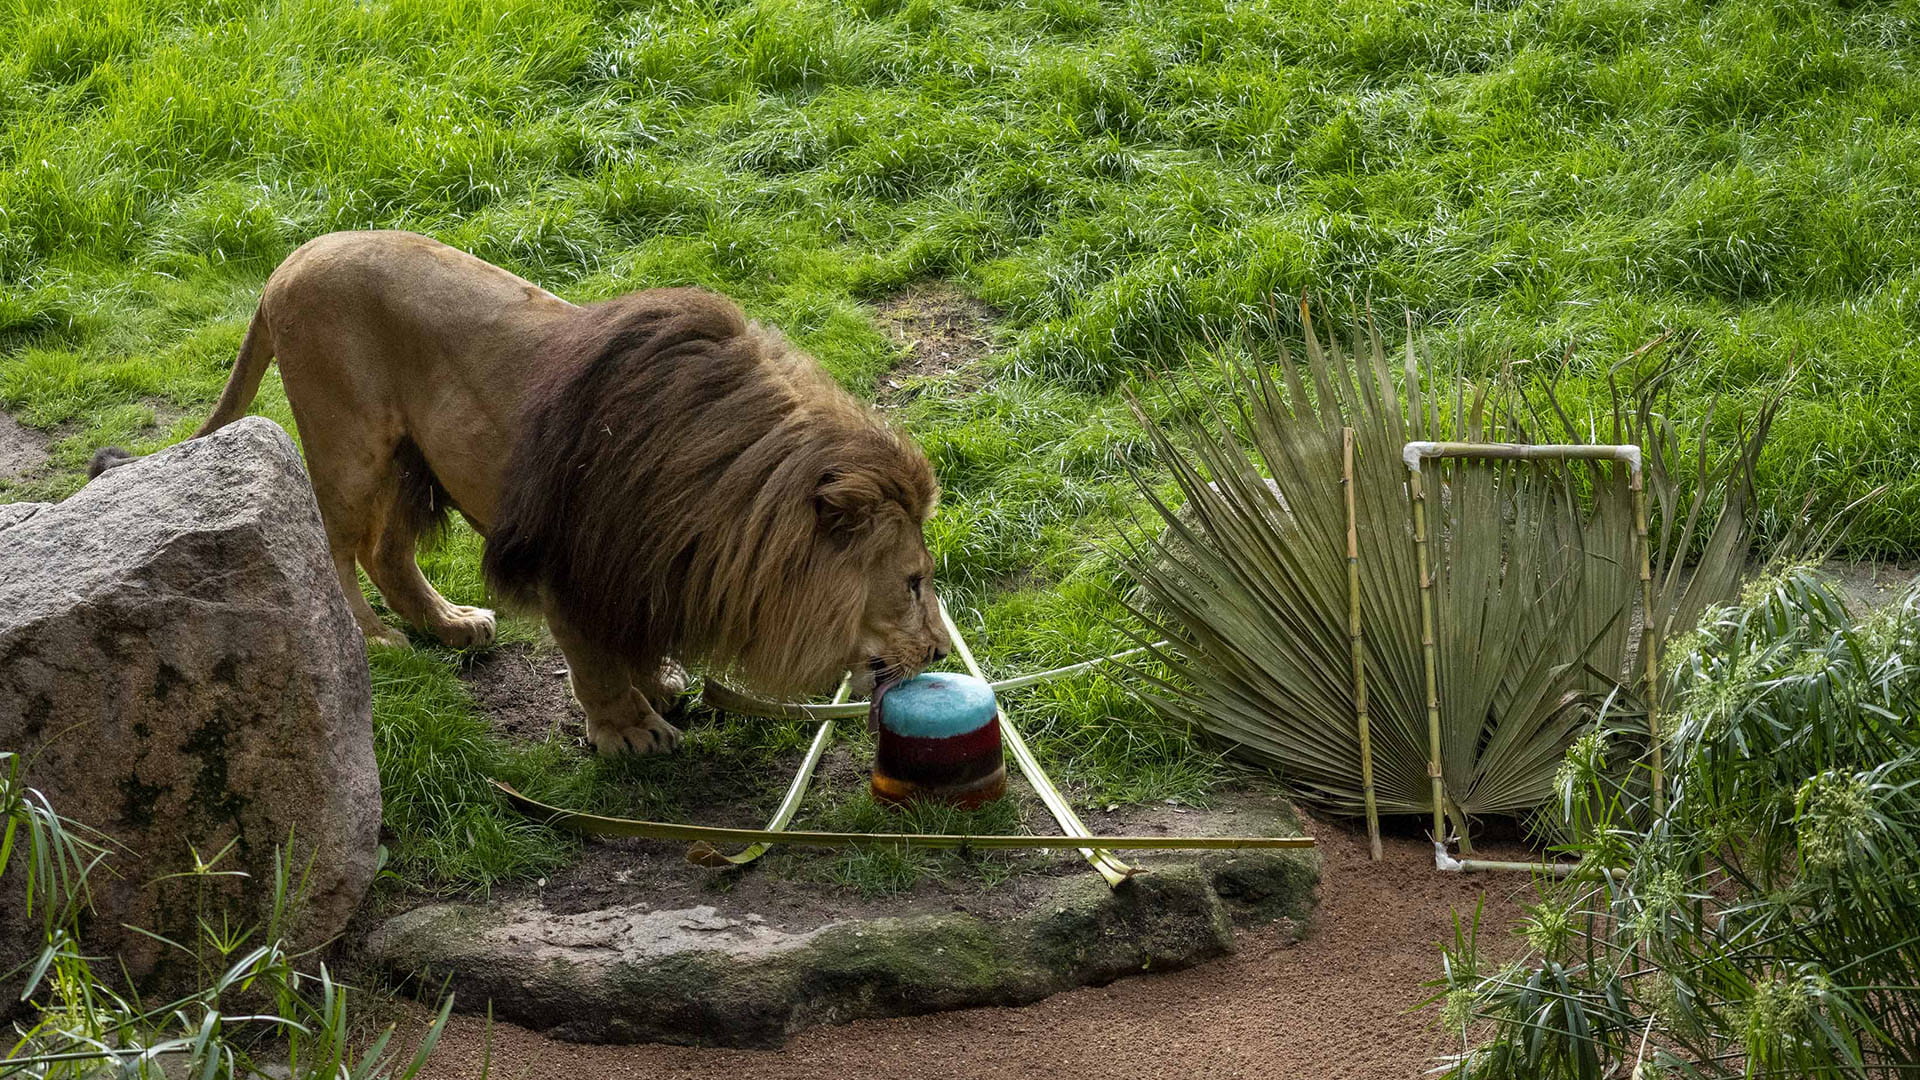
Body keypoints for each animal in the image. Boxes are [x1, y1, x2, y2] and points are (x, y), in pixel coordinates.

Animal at [92, 230, 951, 755]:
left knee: (387, 551)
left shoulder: (647, 558)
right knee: (334, 547)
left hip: (413, 456)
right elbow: (593, 652)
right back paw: (373, 640)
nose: (942, 652)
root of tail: (286, 264)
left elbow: (633, 636)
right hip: (349, 439)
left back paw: (450, 624)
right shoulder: (569, 554)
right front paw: (629, 731)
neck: (728, 495)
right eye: (913, 582)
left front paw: (660, 684)